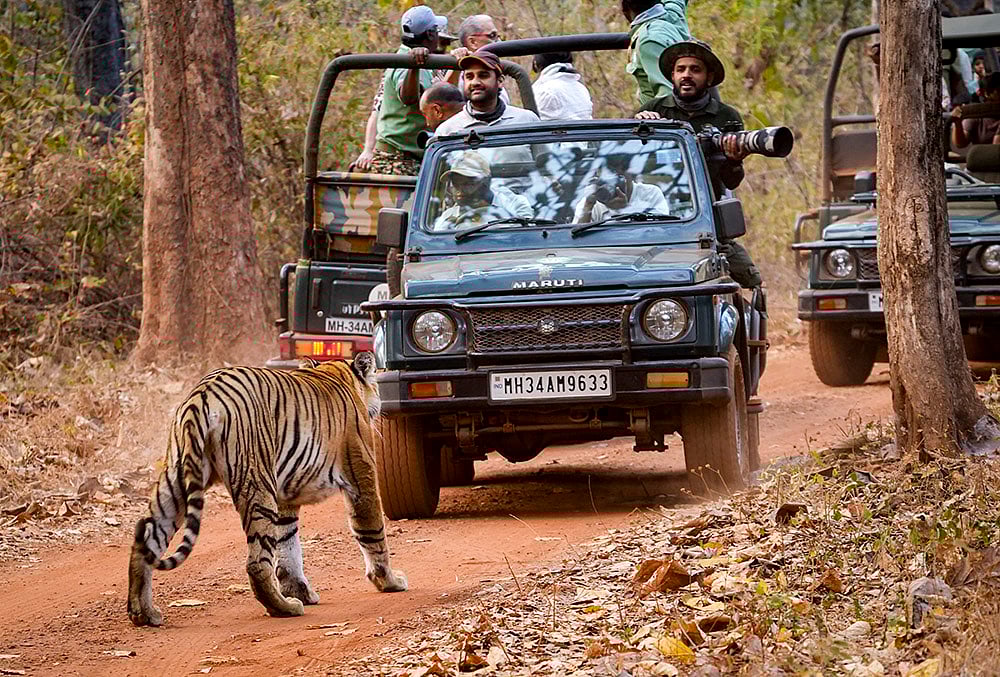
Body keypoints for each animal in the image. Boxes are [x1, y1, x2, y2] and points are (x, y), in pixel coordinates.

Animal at [127, 352, 407, 627]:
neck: (337, 374)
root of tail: (202, 393)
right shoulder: (361, 478)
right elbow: (373, 532)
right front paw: (389, 581)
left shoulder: (286, 496)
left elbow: (288, 545)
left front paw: (300, 591)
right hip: (257, 484)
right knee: (256, 563)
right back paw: (284, 608)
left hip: (174, 482)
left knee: (145, 541)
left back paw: (143, 613)